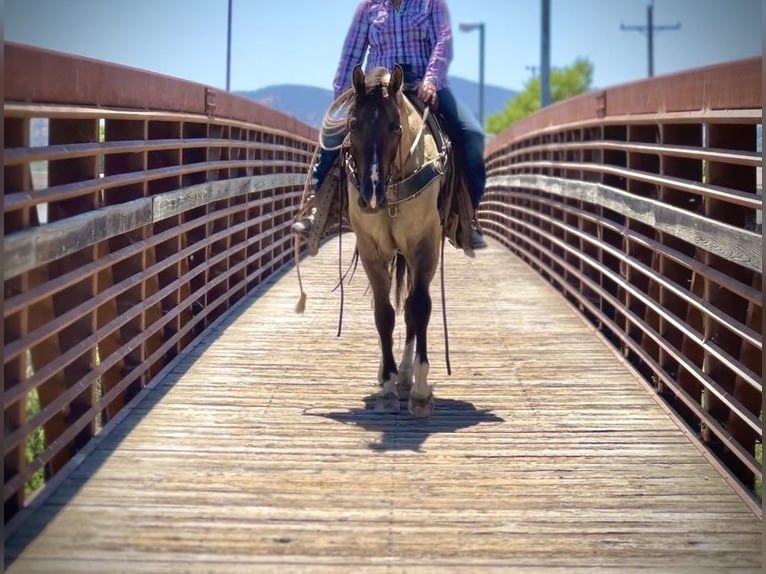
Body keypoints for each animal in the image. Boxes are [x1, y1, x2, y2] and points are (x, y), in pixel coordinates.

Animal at [344, 65, 448, 418]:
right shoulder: (371, 250)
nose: (371, 195)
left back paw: (406, 377)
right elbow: (383, 313)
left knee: (414, 309)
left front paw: (419, 390)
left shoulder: (425, 245)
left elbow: (418, 308)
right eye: (353, 124)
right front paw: (387, 385)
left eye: (395, 127)